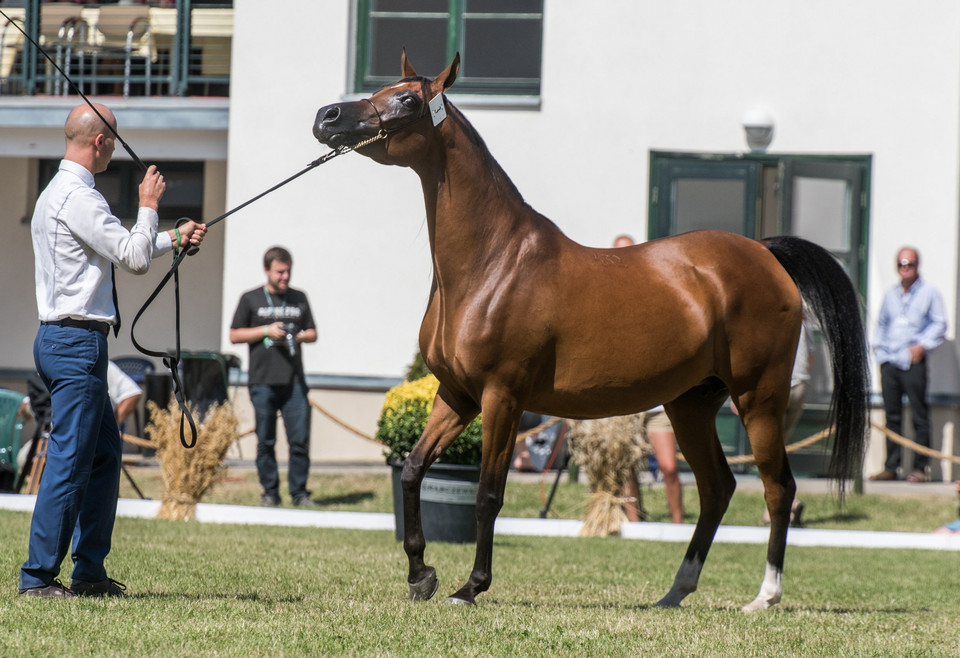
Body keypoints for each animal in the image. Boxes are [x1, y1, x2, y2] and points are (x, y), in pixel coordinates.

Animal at [316, 51, 872, 608]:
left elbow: (488, 494)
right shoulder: (458, 396)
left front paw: (470, 587)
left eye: (408, 100)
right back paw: (675, 591)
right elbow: (412, 471)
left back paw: (765, 596)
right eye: (382, 89)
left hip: (760, 397)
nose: (327, 117)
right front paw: (421, 575)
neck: (493, 263)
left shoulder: (502, 398)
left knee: (779, 487)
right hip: (691, 403)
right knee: (718, 488)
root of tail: (764, 252)